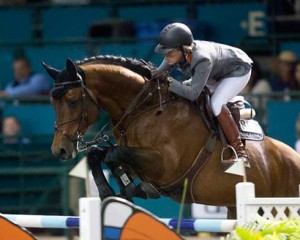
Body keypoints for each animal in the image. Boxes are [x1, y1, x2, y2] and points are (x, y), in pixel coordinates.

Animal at [42, 55, 300, 218]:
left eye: (72, 101)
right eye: (52, 102)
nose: (60, 150)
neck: (144, 107)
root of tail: (294, 158)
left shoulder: (164, 165)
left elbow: (114, 153)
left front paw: (125, 190)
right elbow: (99, 154)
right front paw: (113, 191)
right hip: (235, 207)